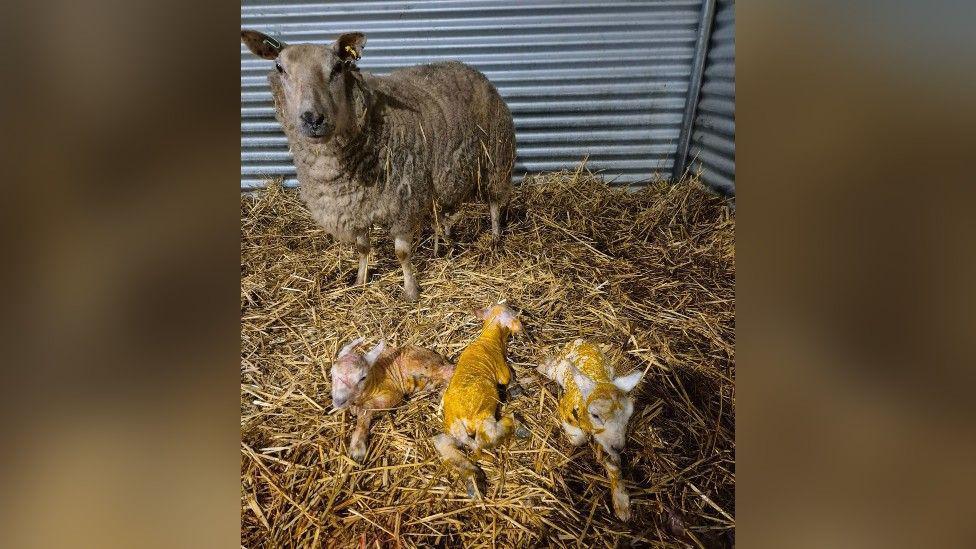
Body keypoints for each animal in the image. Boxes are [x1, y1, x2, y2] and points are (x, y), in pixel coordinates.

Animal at [239, 30, 516, 300]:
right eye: (279, 68)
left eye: (337, 68)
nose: (313, 119)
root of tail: (464, 65)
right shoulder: (355, 205)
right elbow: (363, 247)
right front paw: (360, 281)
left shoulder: (403, 201)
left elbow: (402, 253)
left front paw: (411, 291)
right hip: (448, 171)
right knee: (446, 211)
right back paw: (445, 244)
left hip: (496, 158)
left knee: (494, 203)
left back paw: (495, 239)